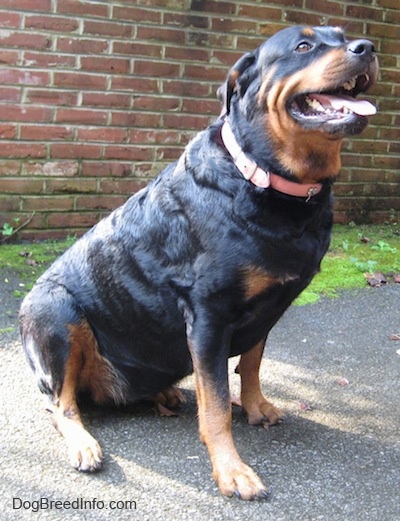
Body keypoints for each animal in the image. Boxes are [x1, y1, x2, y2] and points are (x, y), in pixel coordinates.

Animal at [19, 26, 378, 498]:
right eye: (303, 46)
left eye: (341, 35)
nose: (367, 48)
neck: (265, 181)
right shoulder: (209, 315)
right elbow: (216, 403)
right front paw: (232, 469)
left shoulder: (264, 310)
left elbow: (251, 364)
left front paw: (256, 406)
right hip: (54, 312)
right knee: (61, 403)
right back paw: (84, 442)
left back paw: (163, 395)